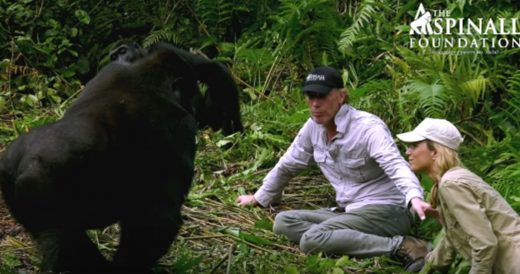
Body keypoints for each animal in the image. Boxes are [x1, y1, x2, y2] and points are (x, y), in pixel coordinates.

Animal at [0, 41, 244, 272]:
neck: (149, 78)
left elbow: (212, 69)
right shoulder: (179, 128)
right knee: (64, 238)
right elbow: (159, 220)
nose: (195, 103)